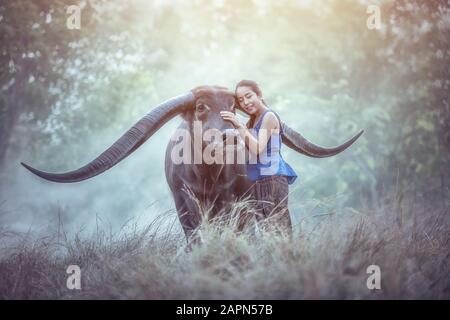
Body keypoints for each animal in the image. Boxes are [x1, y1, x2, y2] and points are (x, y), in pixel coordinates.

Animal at [22, 85, 364, 240]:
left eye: (233, 107)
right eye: (200, 107)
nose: (228, 136)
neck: (208, 175)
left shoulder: (236, 204)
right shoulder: (183, 201)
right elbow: (195, 235)